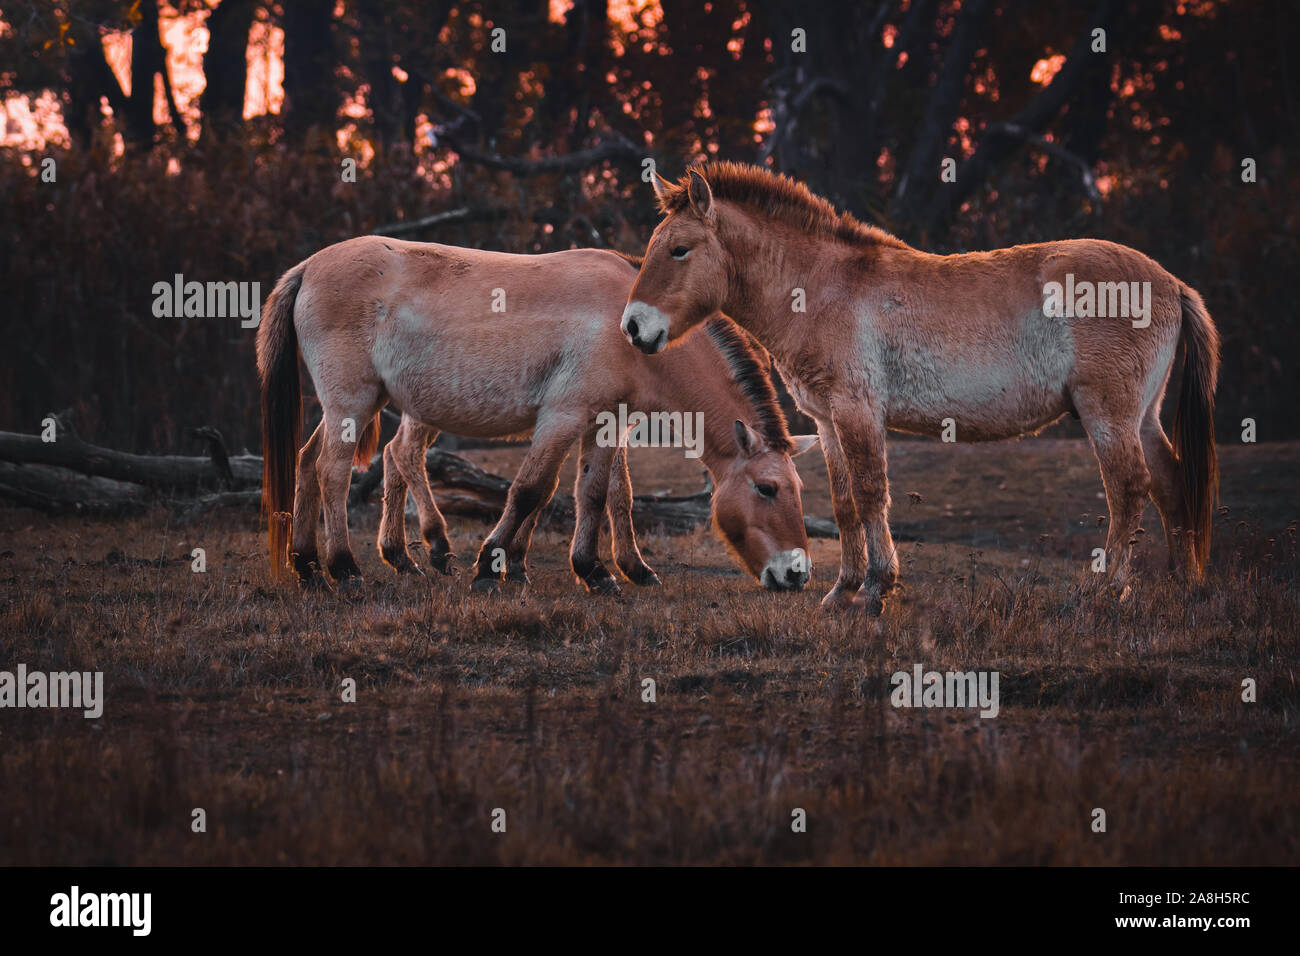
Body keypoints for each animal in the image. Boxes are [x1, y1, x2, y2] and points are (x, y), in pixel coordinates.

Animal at [257, 238, 816, 595]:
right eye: (767, 489)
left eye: (796, 490)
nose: (797, 574)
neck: (627, 329)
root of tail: (308, 267)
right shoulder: (562, 418)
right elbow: (531, 490)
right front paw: (491, 567)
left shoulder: (606, 425)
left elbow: (599, 494)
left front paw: (597, 570)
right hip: (352, 402)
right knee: (334, 470)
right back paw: (346, 567)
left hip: (359, 405)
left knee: (310, 462)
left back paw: (309, 565)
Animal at [621, 163, 1216, 613]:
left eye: (679, 249)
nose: (632, 327)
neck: (821, 288)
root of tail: (1170, 282)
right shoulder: (827, 420)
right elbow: (843, 503)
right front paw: (843, 592)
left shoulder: (858, 411)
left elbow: (869, 494)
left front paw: (876, 591)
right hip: (1141, 417)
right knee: (1169, 483)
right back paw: (1183, 587)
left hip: (1107, 413)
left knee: (1128, 488)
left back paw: (1108, 589)